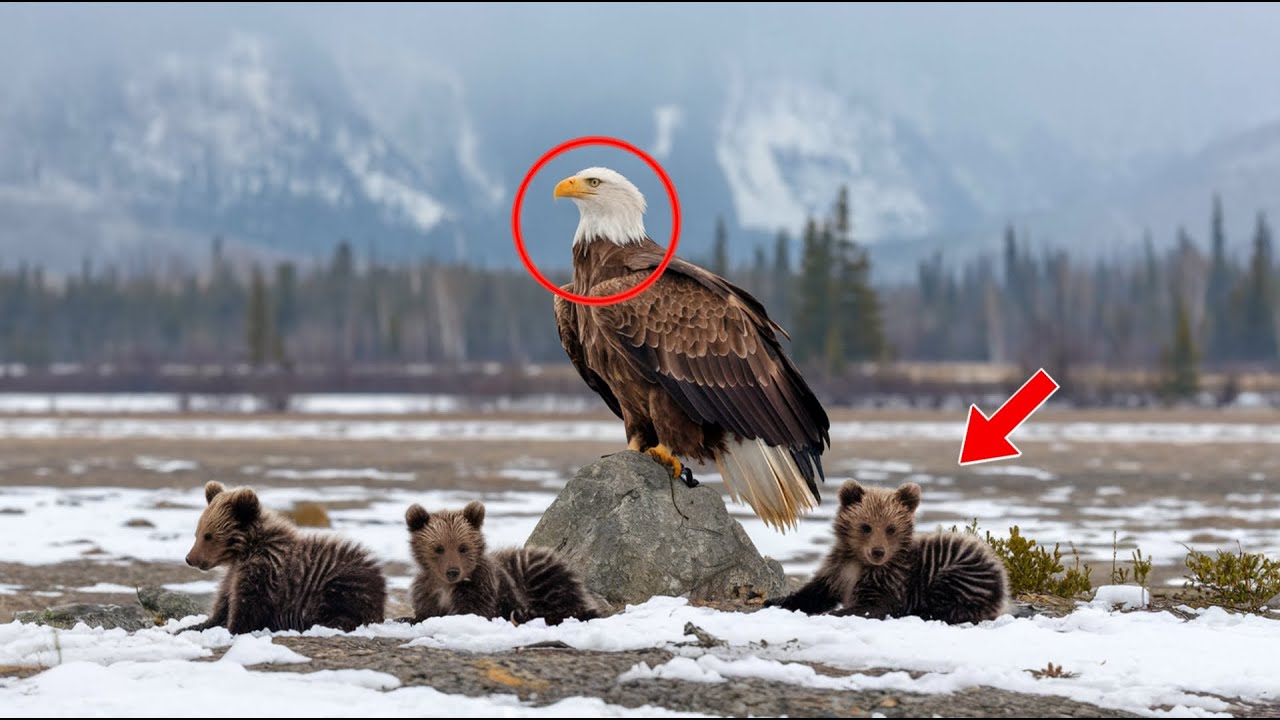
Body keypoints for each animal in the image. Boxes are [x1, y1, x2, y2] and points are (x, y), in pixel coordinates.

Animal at [185, 481, 386, 633]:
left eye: (208, 536)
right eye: (197, 532)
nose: (189, 558)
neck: (245, 550)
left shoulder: (265, 573)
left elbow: (247, 611)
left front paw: (232, 628)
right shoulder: (233, 575)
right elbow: (222, 606)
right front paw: (192, 626)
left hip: (342, 581)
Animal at [405, 500, 597, 625]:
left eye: (463, 547)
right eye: (439, 548)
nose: (453, 571)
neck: (446, 586)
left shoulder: (482, 589)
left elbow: (472, 611)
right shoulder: (428, 592)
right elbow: (424, 612)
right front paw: (407, 618)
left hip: (537, 570)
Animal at [765, 480, 1008, 624]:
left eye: (891, 528)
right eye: (866, 526)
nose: (878, 551)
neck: (859, 562)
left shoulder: (892, 580)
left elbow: (875, 605)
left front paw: (836, 613)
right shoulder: (837, 570)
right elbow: (814, 592)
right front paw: (776, 600)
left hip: (961, 570)